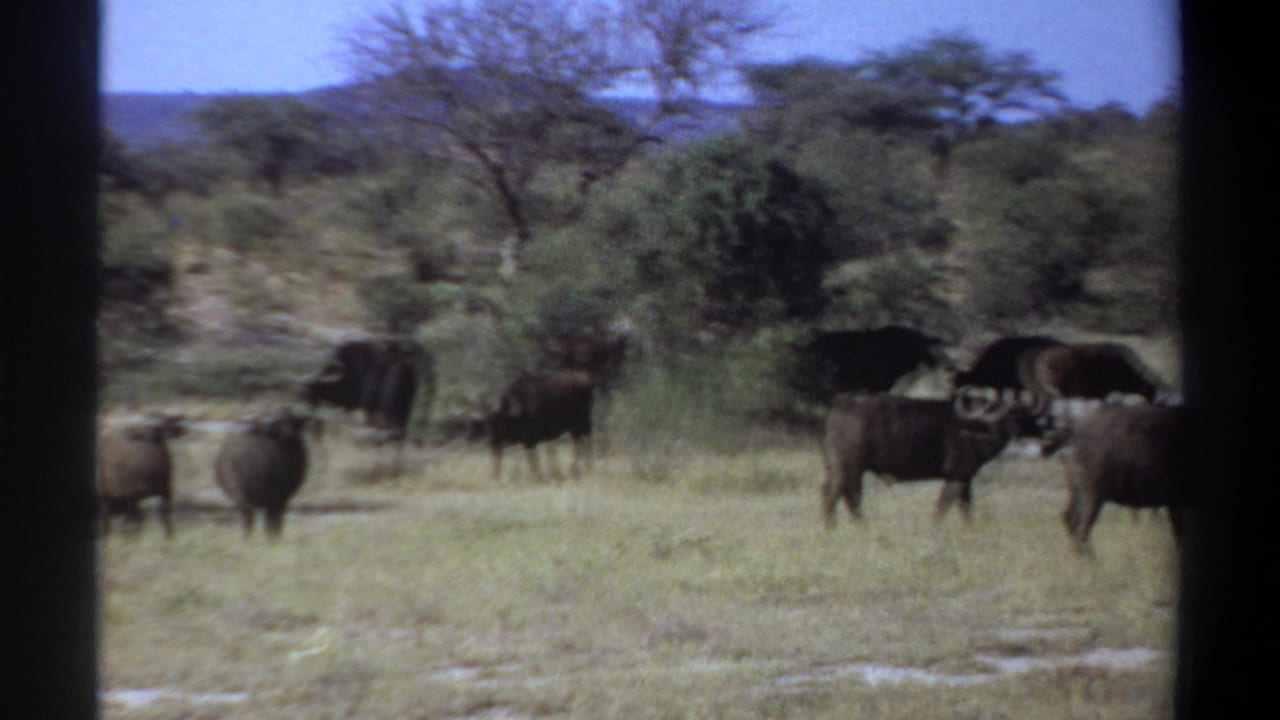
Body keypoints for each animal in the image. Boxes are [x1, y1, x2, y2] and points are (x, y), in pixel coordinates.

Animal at [214, 410, 310, 538]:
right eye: (278, 424)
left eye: (294, 422)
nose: (290, 434)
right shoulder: (262, 497)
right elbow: (265, 520)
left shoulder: (281, 498)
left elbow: (275, 521)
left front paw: (275, 537)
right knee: (249, 519)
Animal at [303, 337, 433, 441]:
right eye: (303, 393)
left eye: (312, 392)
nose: (308, 410)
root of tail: (407, 365)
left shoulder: (368, 405)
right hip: (405, 405)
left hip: (391, 406)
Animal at [821, 391, 1047, 528]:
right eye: (1006, 416)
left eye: (1022, 415)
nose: (1018, 431)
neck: (977, 427)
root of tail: (841, 405)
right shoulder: (957, 476)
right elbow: (943, 507)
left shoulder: (965, 479)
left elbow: (965, 509)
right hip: (850, 467)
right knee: (847, 496)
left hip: (837, 467)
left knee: (832, 494)